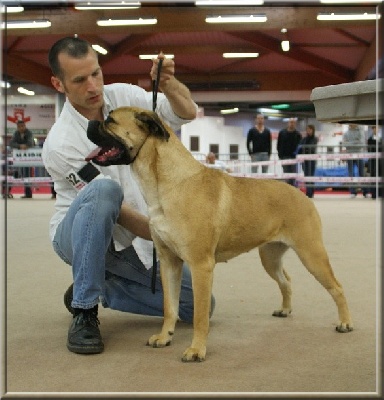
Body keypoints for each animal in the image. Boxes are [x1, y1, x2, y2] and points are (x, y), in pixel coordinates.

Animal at [87, 106, 354, 362]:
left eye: (110, 120)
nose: (91, 122)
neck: (170, 183)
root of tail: (301, 195)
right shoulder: (169, 263)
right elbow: (169, 307)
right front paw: (164, 337)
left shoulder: (201, 266)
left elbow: (200, 316)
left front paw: (196, 350)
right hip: (270, 257)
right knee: (286, 281)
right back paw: (285, 310)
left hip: (311, 254)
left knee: (337, 287)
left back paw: (345, 323)